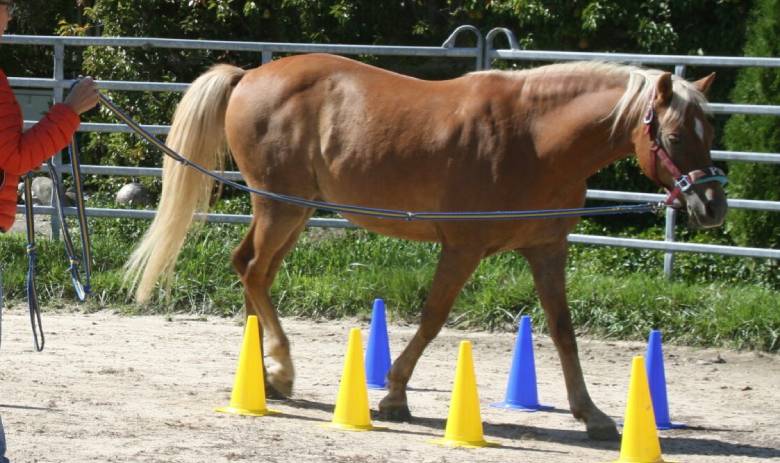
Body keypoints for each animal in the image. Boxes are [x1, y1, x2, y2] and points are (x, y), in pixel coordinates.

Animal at [124, 53, 727, 440]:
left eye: (711, 131)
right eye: (676, 136)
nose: (713, 206)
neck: (536, 138)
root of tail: (250, 74)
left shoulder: (547, 250)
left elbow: (562, 331)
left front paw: (593, 415)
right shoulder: (462, 247)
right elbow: (435, 317)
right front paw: (393, 396)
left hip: (290, 211)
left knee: (254, 270)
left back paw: (266, 372)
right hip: (281, 208)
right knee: (252, 269)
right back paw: (281, 368)